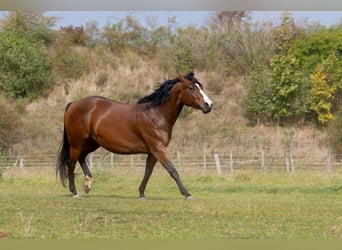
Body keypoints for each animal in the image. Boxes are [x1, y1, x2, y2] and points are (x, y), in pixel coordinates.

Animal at [55, 72, 211, 199]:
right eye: (191, 88)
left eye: (201, 87)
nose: (209, 105)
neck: (156, 114)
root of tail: (72, 104)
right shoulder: (158, 149)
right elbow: (172, 170)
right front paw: (187, 194)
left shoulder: (153, 152)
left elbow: (148, 171)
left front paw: (141, 194)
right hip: (76, 143)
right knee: (71, 163)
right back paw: (75, 192)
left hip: (92, 143)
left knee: (82, 158)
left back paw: (87, 185)